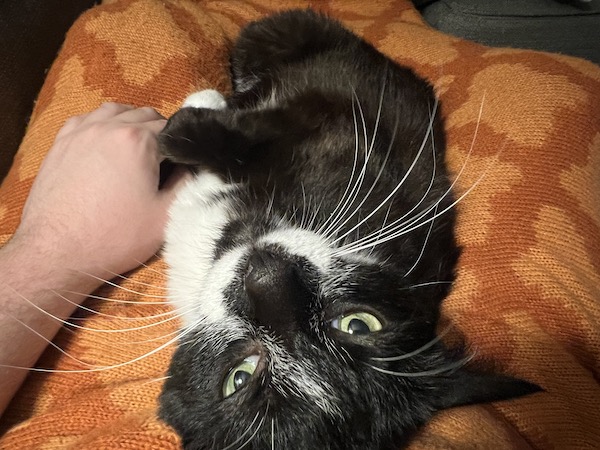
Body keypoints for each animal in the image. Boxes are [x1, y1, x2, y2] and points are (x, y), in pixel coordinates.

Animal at [155, 7, 540, 450]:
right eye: (359, 323)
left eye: (240, 376)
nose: (264, 273)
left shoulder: (327, 132)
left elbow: (265, 131)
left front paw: (184, 123)